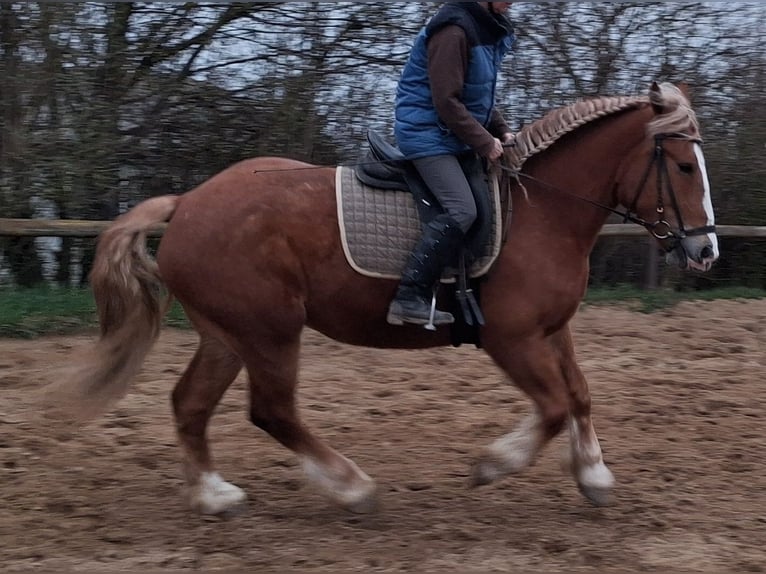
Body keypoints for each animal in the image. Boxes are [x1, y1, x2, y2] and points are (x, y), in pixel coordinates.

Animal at [47, 81, 718, 515]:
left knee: (190, 404)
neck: (541, 211)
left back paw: (215, 495)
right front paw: (494, 464)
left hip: (227, 335)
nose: (706, 249)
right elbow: (553, 407)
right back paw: (352, 488)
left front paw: (595, 476)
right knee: (272, 411)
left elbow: (578, 395)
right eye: (685, 167)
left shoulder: (554, 330)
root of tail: (187, 203)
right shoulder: (512, 339)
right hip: (269, 331)